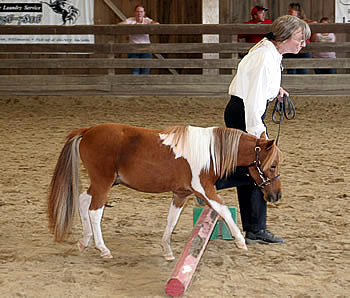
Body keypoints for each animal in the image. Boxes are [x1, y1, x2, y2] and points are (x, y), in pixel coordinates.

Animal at [47, 122, 282, 260]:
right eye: (272, 165)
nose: (276, 196)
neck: (210, 152)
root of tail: (87, 131)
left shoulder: (181, 193)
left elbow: (172, 219)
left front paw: (166, 249)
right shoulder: (204, 190)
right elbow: (224, 210)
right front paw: (240, 241)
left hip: (103, 183)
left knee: (83, 200)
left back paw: (85, 240)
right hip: (103, 183)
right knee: (95, 211)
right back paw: (103, 249)